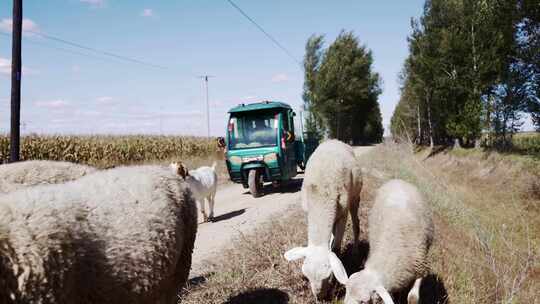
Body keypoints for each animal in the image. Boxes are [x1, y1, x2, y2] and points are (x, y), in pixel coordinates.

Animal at [282, 140, 362, 302]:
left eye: (329, 276)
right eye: (306, 276)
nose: (319, 297)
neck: (320, 197)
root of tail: (334, 141)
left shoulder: (342, 214)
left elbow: (336, 248)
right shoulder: (309, 212)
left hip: (354, 197)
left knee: (356, 224)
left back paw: (356, 251)